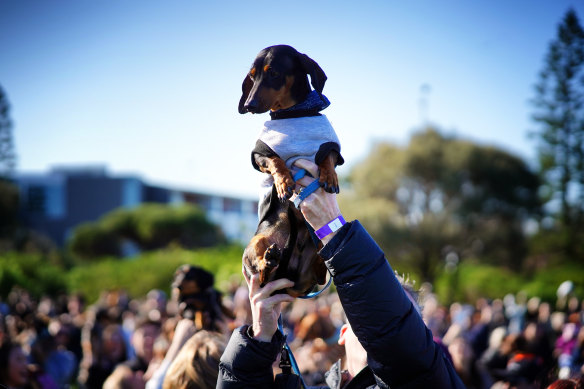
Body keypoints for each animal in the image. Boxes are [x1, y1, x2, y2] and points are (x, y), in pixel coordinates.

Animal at [240, 45, 344, 294]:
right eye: (252, 76)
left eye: (273, 73)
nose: (249, 105)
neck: (294, 113)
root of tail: (289, 275)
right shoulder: (260, 152)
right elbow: (276, 161)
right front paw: (284, 182)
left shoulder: (331, 145)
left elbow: (327, 156)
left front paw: (329, 177)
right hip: (255, 244)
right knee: (263, 275)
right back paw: (269, 260)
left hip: (316, 261)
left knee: (321, 271)